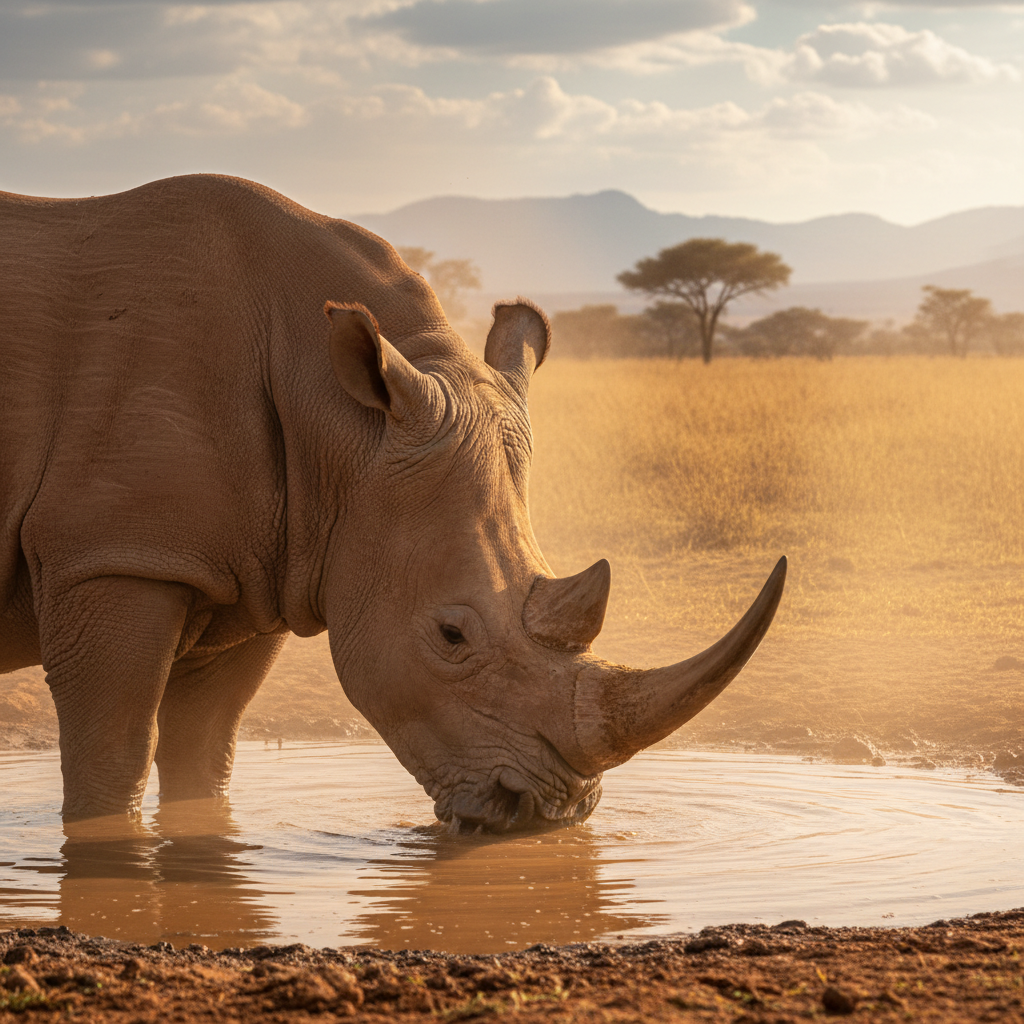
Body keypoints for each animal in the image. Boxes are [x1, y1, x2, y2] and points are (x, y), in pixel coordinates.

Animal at [0, 174, 786, 830]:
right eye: (451, 635)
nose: (547, 812)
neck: (341, 424)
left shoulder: (256, 566)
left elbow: (205, 746)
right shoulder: (113, 555)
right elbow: (113, 754)